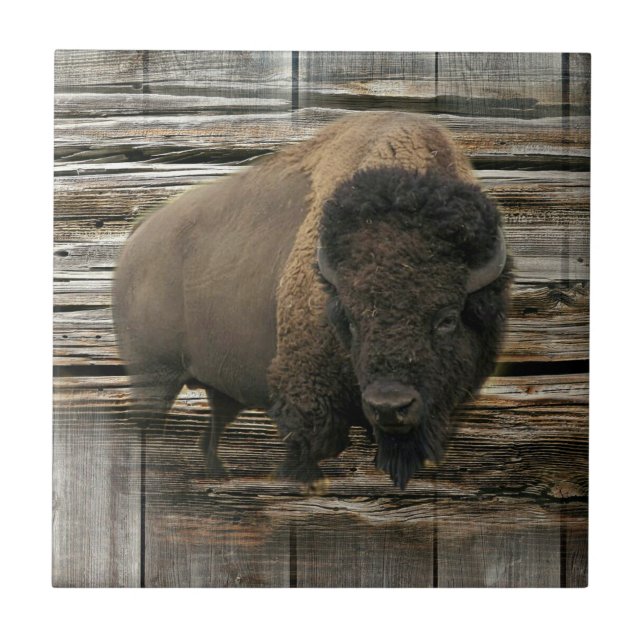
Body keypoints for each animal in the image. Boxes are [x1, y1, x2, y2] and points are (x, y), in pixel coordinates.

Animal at [112, 111, 511, 491]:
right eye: (349, 318)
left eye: (447, 318)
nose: (389, 406)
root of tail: (137, 236)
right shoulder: (308, 400)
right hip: (153, 377)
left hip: (214, 388)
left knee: (208, 437)